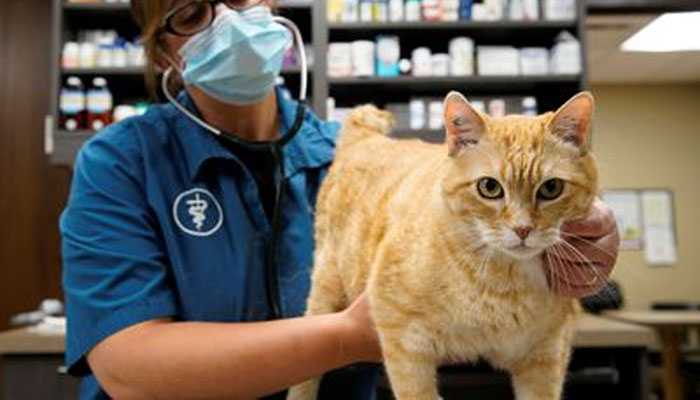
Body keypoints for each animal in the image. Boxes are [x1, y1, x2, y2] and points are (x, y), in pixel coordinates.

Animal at [288, 91, 600, 400]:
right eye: (490, 187)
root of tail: (366, 137)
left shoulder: (546, 357)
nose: (523, 229)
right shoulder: (406, 344)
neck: (504, 284)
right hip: (325, 290)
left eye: (551, 188)